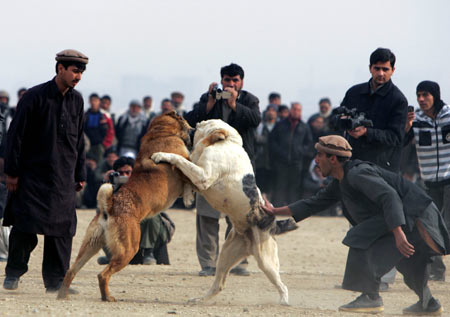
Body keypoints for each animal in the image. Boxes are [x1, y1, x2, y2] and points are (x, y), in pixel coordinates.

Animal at [57, 111, 191, 302]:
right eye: (186, 122)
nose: (193, 131)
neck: (160, 132)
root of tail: (109, 207)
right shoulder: (186, 163)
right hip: (128, 249)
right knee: (103, 275)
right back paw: (107, 297)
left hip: (90, 245)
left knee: (71, 270)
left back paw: (62, 295)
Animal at [153, 118, 290, 304]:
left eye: (202, 125)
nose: (191, 127)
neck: (226, 142)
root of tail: (273, 225)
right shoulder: (199, 177)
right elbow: (187, 176)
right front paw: (188, 197)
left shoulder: (203, 176)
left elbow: (180, 160)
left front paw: (160, 155)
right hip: (225, 257)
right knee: (218, 285)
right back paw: (199, 300)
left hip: (265, 261)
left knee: (282, 285)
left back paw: (284, 301)